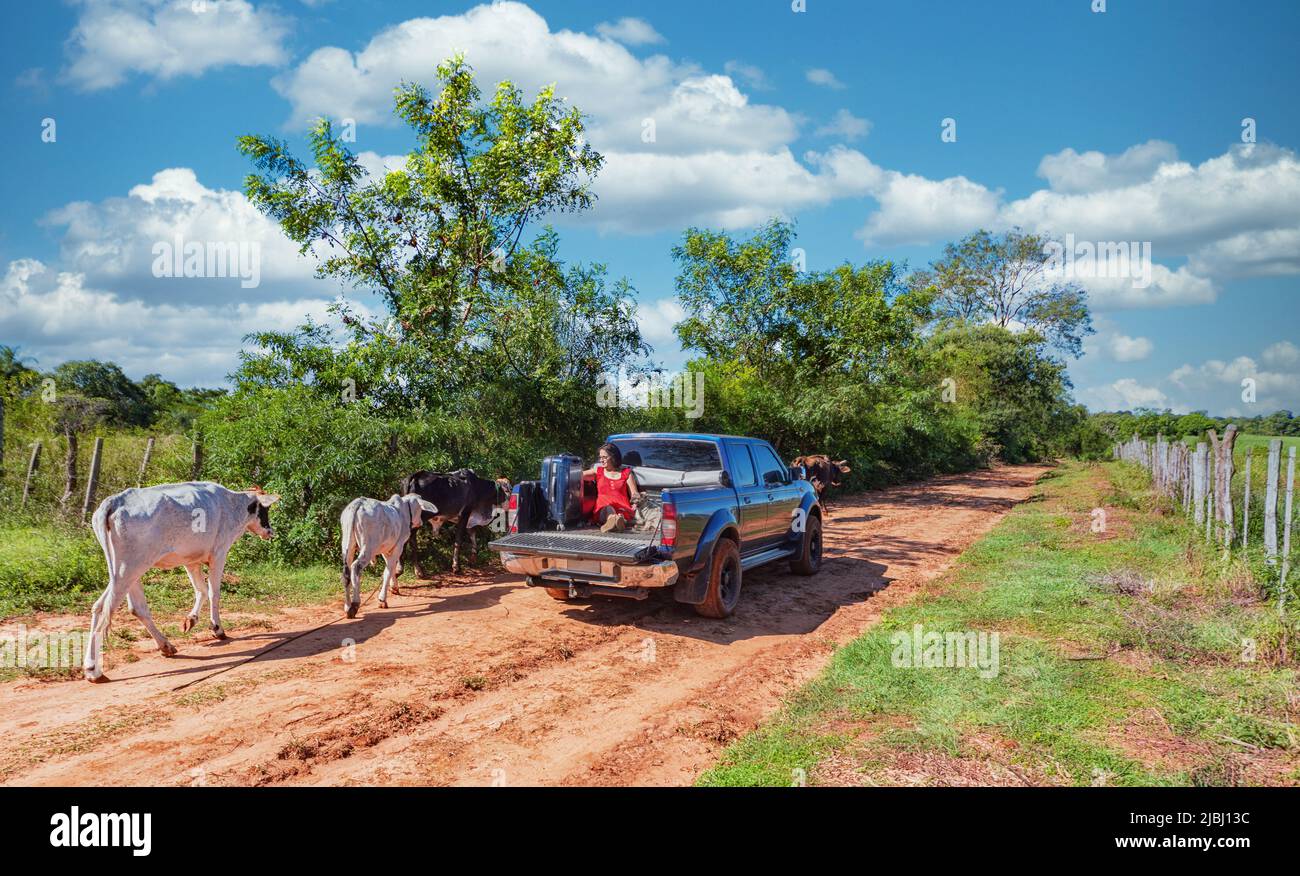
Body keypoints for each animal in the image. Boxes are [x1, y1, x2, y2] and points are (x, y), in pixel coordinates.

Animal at [87, 480, 282, 681]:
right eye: (265, 509)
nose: (270, 532)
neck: (232, 503)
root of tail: (114, 501)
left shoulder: (191, 560)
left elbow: (201, 590)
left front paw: (191, 620)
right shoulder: (219, 553)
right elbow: (214, 592)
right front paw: (217, 628)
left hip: (128, 571)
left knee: (117, 607)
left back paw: (164, 646)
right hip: (129, 568)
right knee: (106, 609)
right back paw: (94, 671)